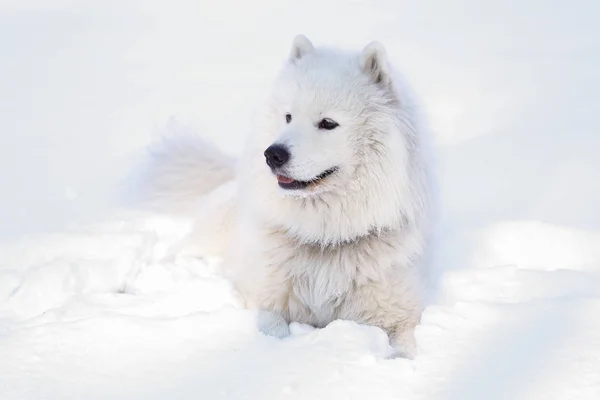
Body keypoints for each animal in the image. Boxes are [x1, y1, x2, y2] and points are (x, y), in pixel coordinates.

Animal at [135, 36, 436, 358]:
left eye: (327, 123)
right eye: (289, 117)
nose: (273, 154)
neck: (326, 237)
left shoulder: (400, 313)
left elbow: (407, 347)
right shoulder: (265, 299)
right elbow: (273, 327)